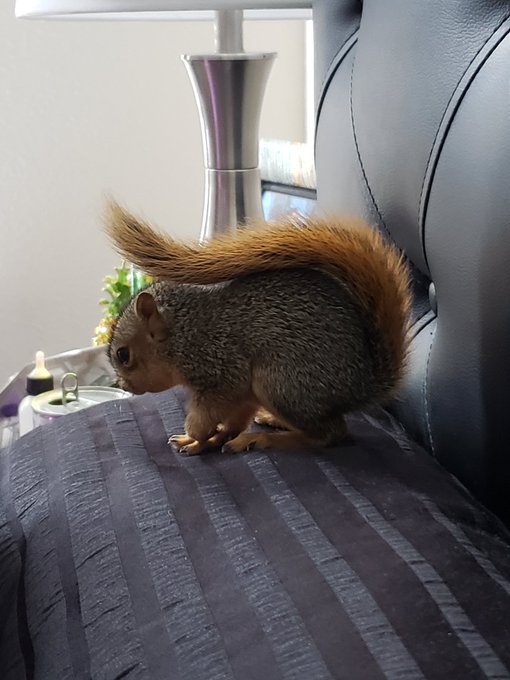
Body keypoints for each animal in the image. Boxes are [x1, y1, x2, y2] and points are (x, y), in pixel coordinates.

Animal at [105, 202, 411, 455]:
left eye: (123, 355)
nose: (124, 386)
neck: (181, 332)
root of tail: (363, 385)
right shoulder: (240, 394)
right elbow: (233, 419)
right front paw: (214, 439)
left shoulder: (220, 368)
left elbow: (205, 417)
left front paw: (193, 438)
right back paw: (269, 421)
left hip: (282, 383)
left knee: (331, 434)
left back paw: (265, 439)